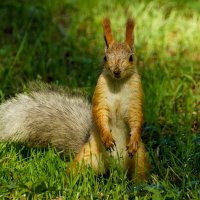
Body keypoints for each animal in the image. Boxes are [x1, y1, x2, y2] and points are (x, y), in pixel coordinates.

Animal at [0, 17, 149, 183]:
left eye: (131, 58)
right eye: (105, 58)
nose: (116, 71)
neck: (117, 84)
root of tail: (114, 169)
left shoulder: (136, 96)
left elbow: (136, 117)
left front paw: (133, 140)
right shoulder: (100, 94)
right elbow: (99, 114)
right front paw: (107, 137)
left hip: (140, 159)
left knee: (140, 175)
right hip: (87, 156)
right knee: (75, 170)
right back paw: (65, 182)